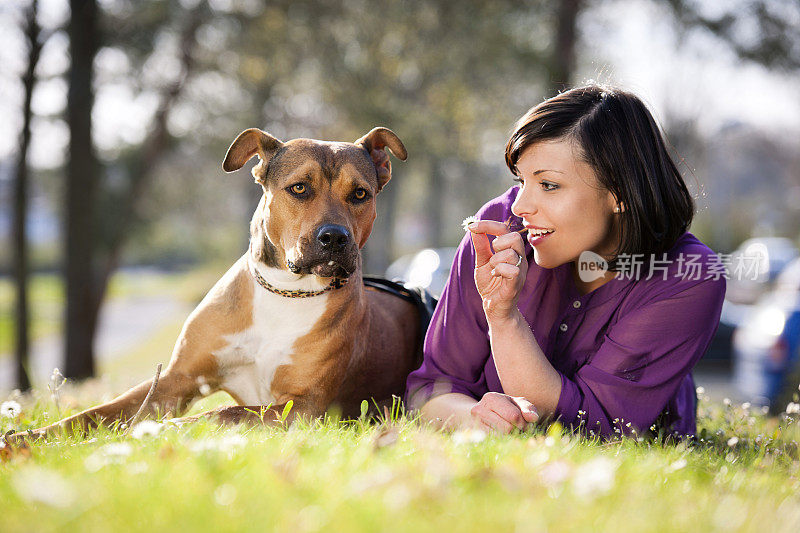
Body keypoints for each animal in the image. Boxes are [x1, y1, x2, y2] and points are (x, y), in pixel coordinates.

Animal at [14, 125, 424, 436]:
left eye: (360, 194)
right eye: (299, 188)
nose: (336, 238)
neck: (287, 292)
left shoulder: (305, 407)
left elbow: (221, 414)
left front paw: (161, 430)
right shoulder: (176, 379)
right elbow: (94, 414)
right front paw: (27, 438)